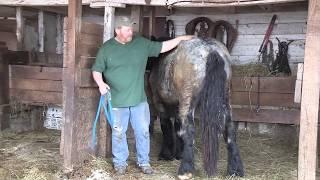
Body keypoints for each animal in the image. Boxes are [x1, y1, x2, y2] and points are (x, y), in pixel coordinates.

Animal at [149, 37, 244, 179]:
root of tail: (211, 50)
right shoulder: (177, 106)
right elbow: (178, 129)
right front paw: (179, 153)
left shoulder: (160, 103)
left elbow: (167, 128)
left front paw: (166, 155)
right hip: (225, 99)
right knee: (230, 129)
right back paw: (235, 170)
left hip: (188, 101)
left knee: (189, 130)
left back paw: (185, 170)